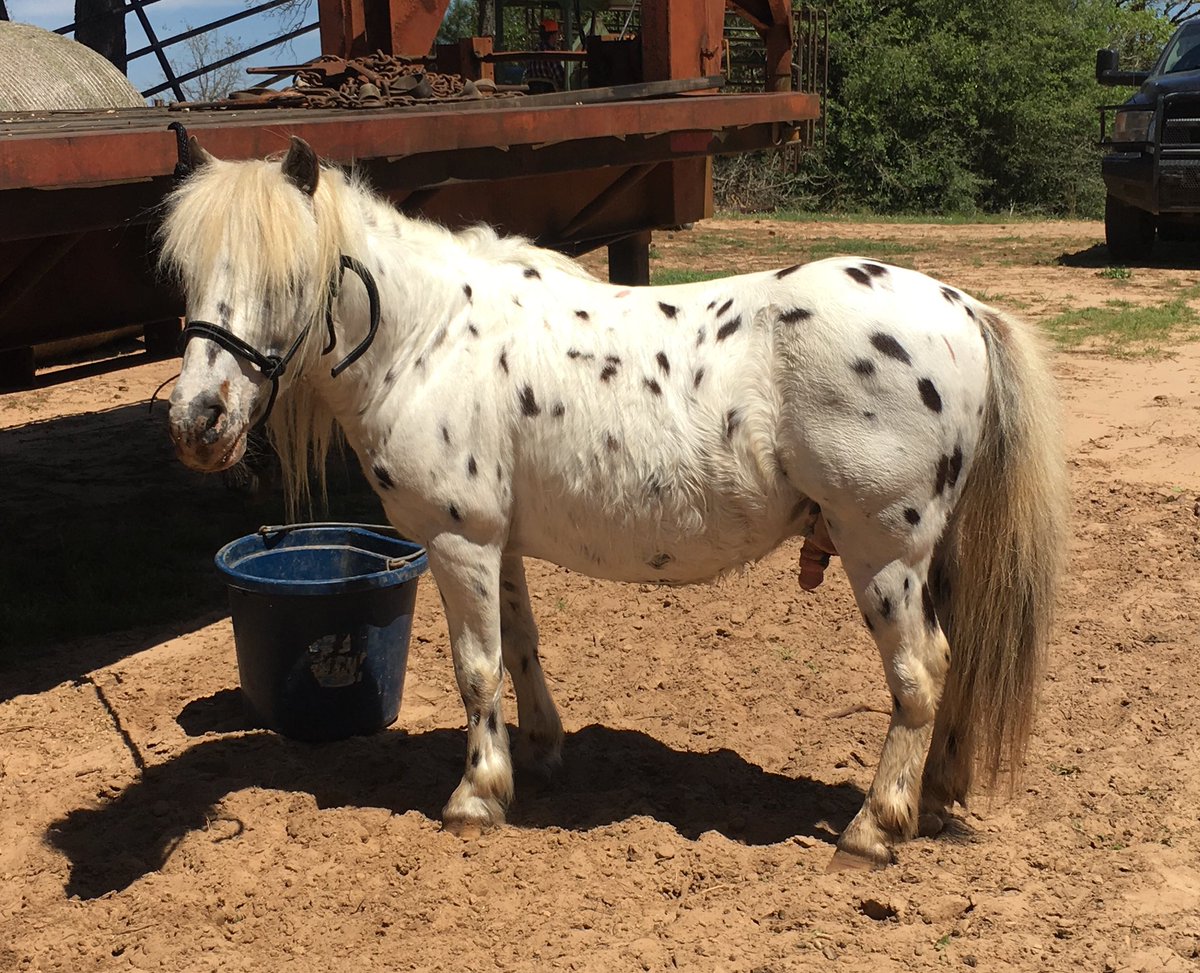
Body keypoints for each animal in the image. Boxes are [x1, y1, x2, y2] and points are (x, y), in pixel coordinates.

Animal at [160, 136, 1068, 870]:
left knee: (921, 671)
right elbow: (521, 648)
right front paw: (540, 752)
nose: (197, 421)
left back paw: (875, 827)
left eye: (288, 277)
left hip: (882, 550)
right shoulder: (497, 543)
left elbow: (475, 667)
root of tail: (964, 308)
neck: (430, 341)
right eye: (185, 274)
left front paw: (476, 797)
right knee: (955, 666)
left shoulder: (459, 542)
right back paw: (937, 795)